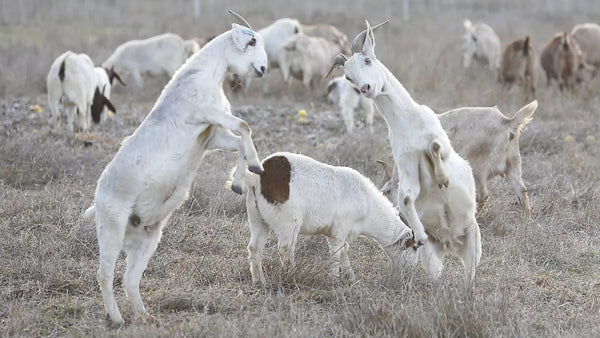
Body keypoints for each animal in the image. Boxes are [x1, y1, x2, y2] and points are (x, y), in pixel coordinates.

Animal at [82, 11, 268, 326]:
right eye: (252, 41)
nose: (263, 69)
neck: (204, 74)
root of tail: (98, 200)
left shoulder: (211, 136)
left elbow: (239, 141)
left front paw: (239, 180)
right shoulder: (206, 114)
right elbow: (244, 126)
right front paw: (253, 167)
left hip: (147, 238)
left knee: (130, 278)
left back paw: (144, 315)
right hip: (111, 229)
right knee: (104, 274)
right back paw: (118, 320)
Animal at [239, 152, 418, 284]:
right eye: (414, 247)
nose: (411, 271)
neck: (367, 203)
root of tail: (259, 176)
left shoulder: (338, 233)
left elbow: (344, 251)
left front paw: (350, 277)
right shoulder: (339, 230)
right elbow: (336, 253)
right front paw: (335, 280)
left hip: (257, 218)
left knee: (254, 247)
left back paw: (259, 281)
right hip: (288, 222)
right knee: (285, 248)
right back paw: (291, 276)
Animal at [338, 20, 482, 286]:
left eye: (368, 60)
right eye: (348, 76)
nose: (366, 88)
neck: (406, 120)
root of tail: (451, 244)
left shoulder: (443, 146)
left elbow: (435, 148)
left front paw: (443, 179)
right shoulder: (408, 166)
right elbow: (406, 197)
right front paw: (420, 235)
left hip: (474, 241)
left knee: (470, 274)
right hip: (434, 258)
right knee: (437, 273)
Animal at [382, 100, 540, 218]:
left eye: (386, 192)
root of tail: (507, 122)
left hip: (478, 167)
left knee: (482, 195)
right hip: (513, 163)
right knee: (522, 190)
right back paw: (527, 220)